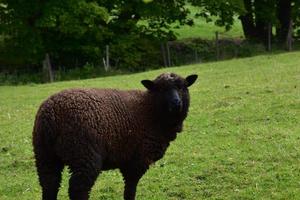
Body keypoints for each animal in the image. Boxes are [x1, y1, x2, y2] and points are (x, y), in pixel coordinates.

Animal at [32, 72, 197, 200]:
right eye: (161, 89)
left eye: (182, 87)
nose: (176, 103)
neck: (150, 109)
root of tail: (51, 115)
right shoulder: (138, 159)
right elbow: (131, 188)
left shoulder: (127, 158)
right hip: (84, 155)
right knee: (78, 189)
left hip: (45, 154)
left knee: (49, 185)